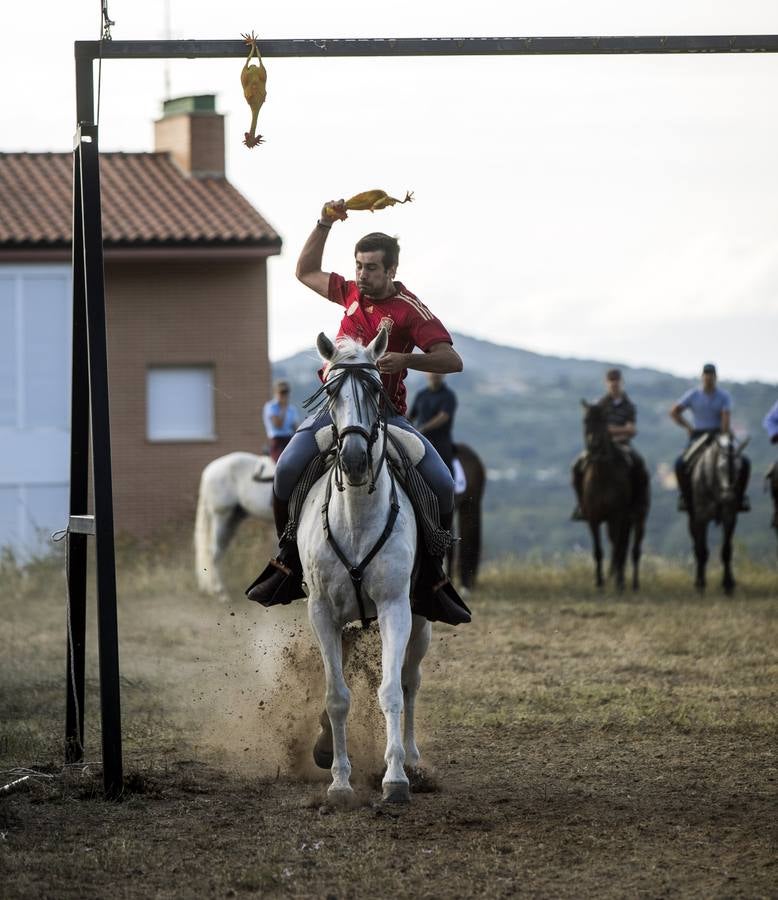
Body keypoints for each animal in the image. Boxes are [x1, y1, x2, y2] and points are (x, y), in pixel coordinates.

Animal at [298, 328, 430, 800]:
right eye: (330, 391)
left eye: (375, 389)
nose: (354, 459)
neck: (355, 514)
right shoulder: (321, 611)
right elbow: (337, 696)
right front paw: (339, 781)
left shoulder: (395, 606)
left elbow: (390, 691)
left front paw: (395, 779)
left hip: (421, 619)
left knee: (410, 681)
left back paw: (413, 760)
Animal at [576, 400, 648, 592]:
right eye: (585, 420)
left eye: (603, 420)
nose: (594, 446)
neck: (602, 473)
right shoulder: (593, 518)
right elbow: (599, 551)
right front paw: (600, 583)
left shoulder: (618, 516)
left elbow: (619, 550)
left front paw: (619, 583)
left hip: (638, 519)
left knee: (633, 550)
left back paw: (634, 584)